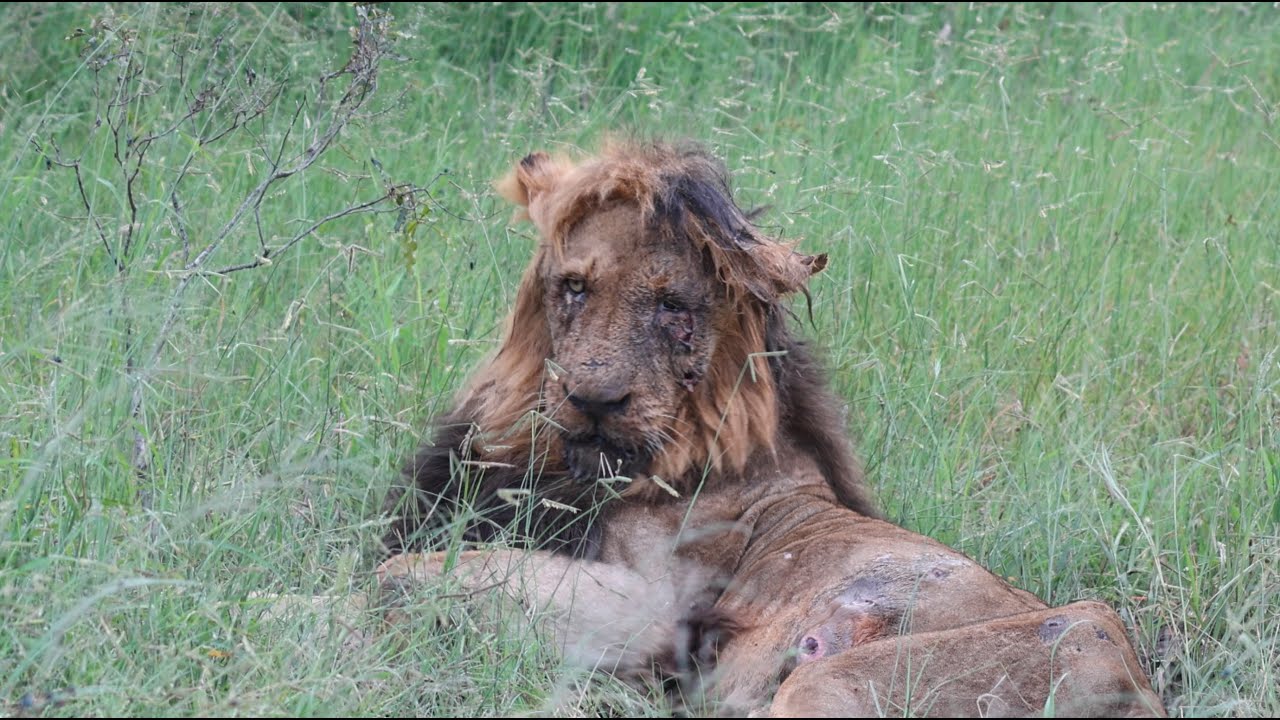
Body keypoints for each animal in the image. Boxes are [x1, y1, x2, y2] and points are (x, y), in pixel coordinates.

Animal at [378, 141, 1166, 717]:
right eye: (575, 287)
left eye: (672, 306)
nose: (593, 399)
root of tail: (1140, 689)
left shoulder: (657, 610)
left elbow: (408, 572)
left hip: (865, 675)